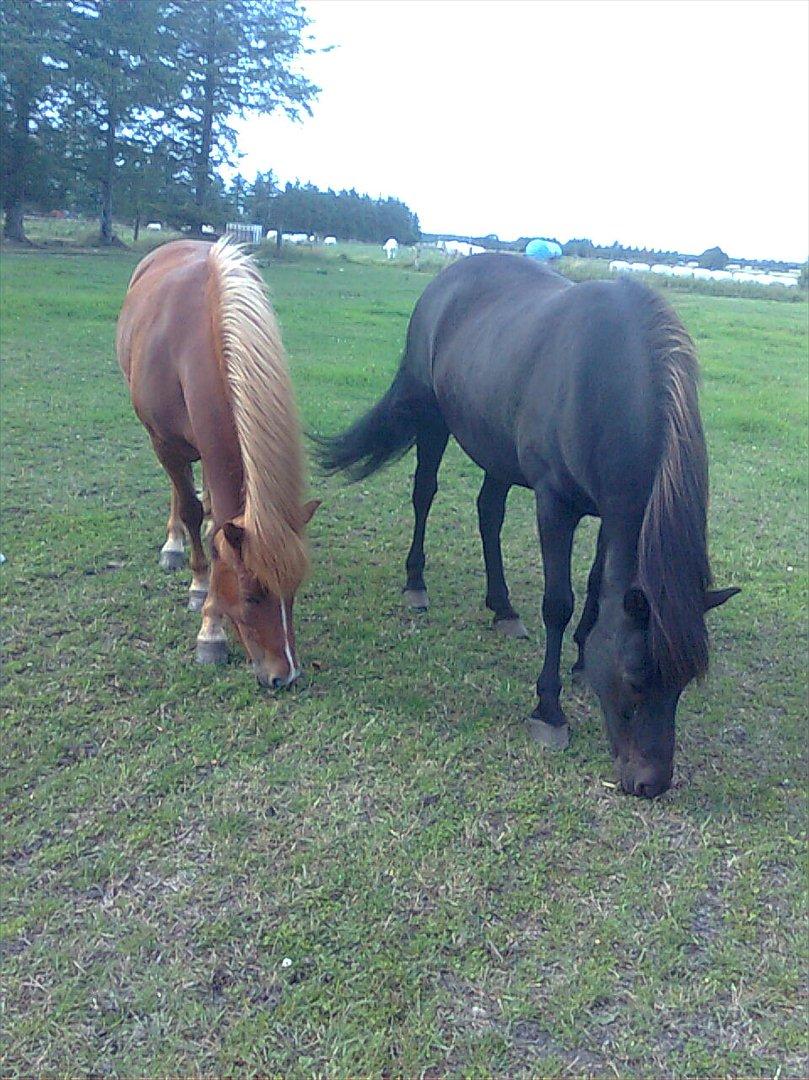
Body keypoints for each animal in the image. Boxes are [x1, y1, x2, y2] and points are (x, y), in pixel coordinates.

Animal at [117, 239, 319, 686]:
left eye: (295, 591)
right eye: (252, 594)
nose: (285, 675)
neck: (192, 342)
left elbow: (216, 529)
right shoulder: (165, 442)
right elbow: (190, 510)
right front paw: (205, 611)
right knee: (181, 495)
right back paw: (175, 546)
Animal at [317, 252, 738, 794]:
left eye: (685, 682)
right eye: (636, 679)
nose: (652, 783)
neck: (603, 383)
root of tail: (444, 281)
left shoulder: (609, 512)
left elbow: (599, 584)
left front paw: (581, 657)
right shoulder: (554, 505)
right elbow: (558, 602)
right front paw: (549, 709)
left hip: (494, 448)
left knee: (488, 513)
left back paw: (502, 608)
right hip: (432, 418)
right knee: (424, 494)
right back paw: (416, 583)